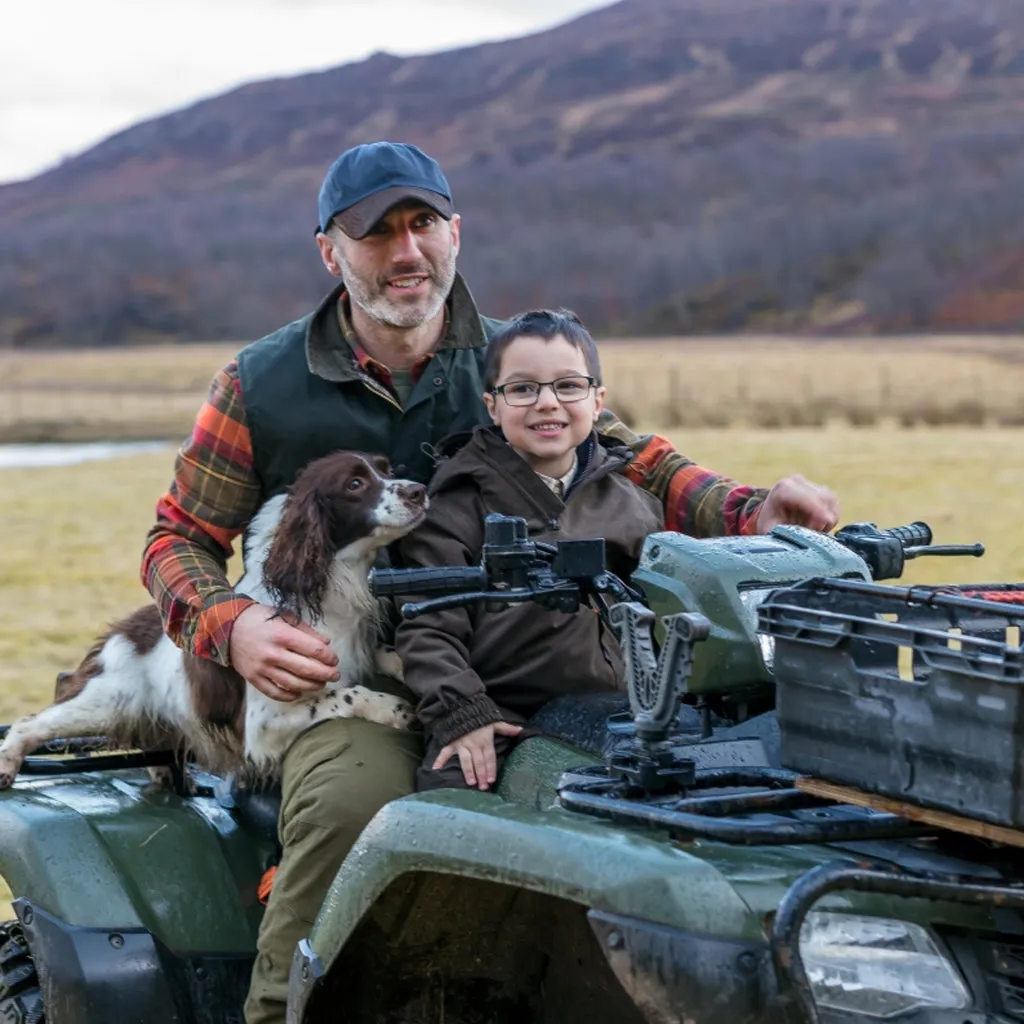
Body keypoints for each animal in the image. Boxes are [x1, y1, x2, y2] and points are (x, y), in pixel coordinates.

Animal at [0, 448, 428, 782]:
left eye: (387, 469)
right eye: (354, 484)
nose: (419, 491)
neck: (327, 587)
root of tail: (119, 631)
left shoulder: (358, 649)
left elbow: (387, 655)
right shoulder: (262, 726)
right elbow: (349, 695)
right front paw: (396, 709)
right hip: (105, 700)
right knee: (31, 721)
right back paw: (8, 764)